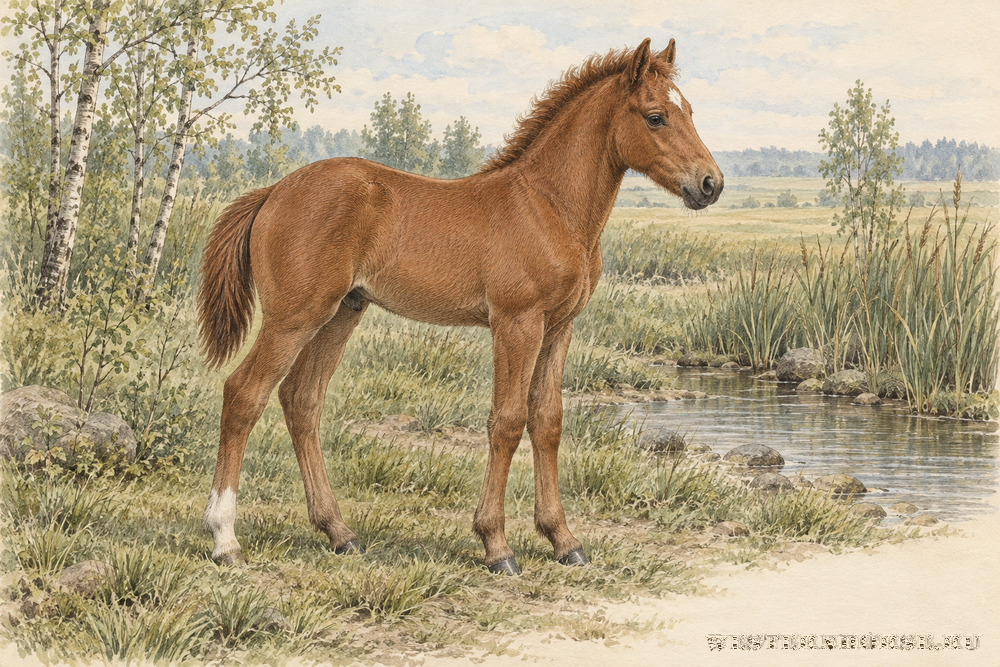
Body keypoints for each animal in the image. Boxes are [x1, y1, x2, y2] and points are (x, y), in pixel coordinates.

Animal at [197, 38, 723, 575]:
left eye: (690, 111)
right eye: (656, 117)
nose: (710, 184)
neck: (548, 206)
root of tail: (275, 191)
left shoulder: (559, 327)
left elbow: (548, 420)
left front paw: (563, 540)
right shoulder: (517, 324)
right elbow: (507, 421)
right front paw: (497, 546)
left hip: (341, 312)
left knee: (302, 400)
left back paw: (339, 532)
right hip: (294, 316)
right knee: (244, 394)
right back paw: (225, 538)